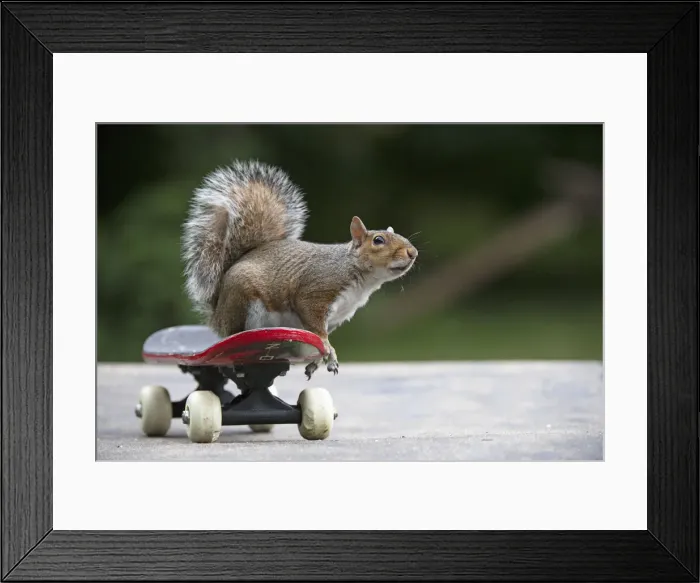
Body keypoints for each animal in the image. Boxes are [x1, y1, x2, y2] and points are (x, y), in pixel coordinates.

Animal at [181, 159, 418, 380]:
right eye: (378, 240)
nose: (413, 252)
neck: (357, 275)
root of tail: (217, 313)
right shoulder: (315, 292)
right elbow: (319, 332)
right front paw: (329, 352)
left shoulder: (336, 316)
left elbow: (315, 337)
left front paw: (317, 361)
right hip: (243, 301)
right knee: (236, 335)